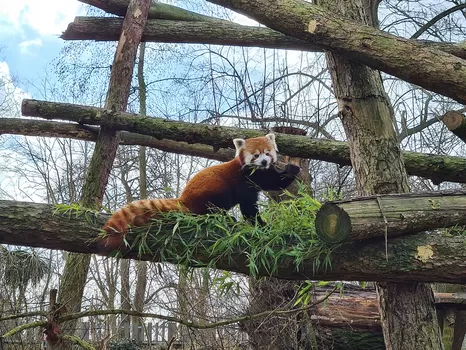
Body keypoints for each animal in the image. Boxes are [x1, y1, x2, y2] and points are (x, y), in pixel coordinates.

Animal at [100, 133, 300, 250]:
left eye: (268, 153)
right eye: (256, 155)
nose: (264, 162)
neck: (255, 172)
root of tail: (184, 198)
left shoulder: (260, 177)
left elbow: (275, 183)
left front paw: (293, 169)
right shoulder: (244, 180)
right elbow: (249, 207)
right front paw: (261, 224)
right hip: (214, 188)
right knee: (212, 207)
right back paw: (225, 218)